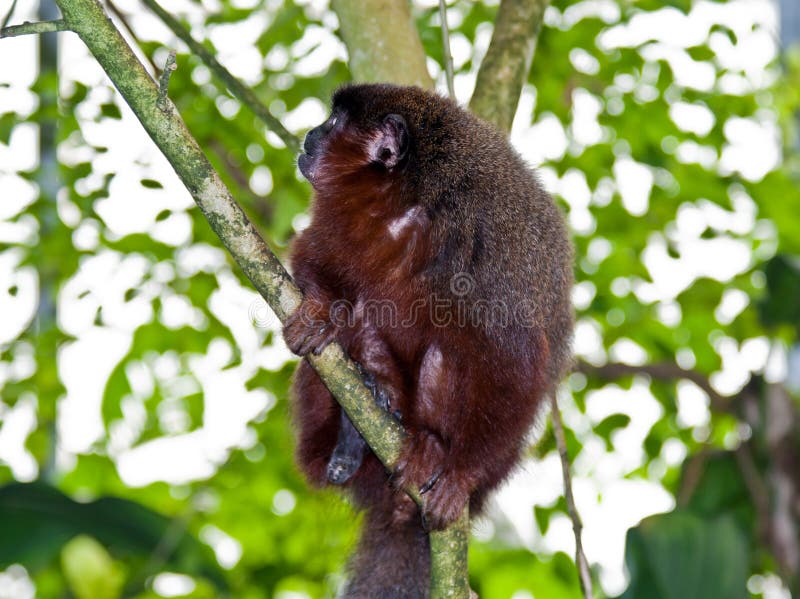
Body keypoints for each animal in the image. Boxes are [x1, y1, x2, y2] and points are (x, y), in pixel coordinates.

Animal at [284, 84, 572, 599]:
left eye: (334, 122)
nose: (310, 134)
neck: (405, 208)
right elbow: (311, 258)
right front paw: (321, 309)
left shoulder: (482, 253)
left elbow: (517, 370)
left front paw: (461, 473)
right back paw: (357, 425)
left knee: (449, 353)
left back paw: (430, 446)